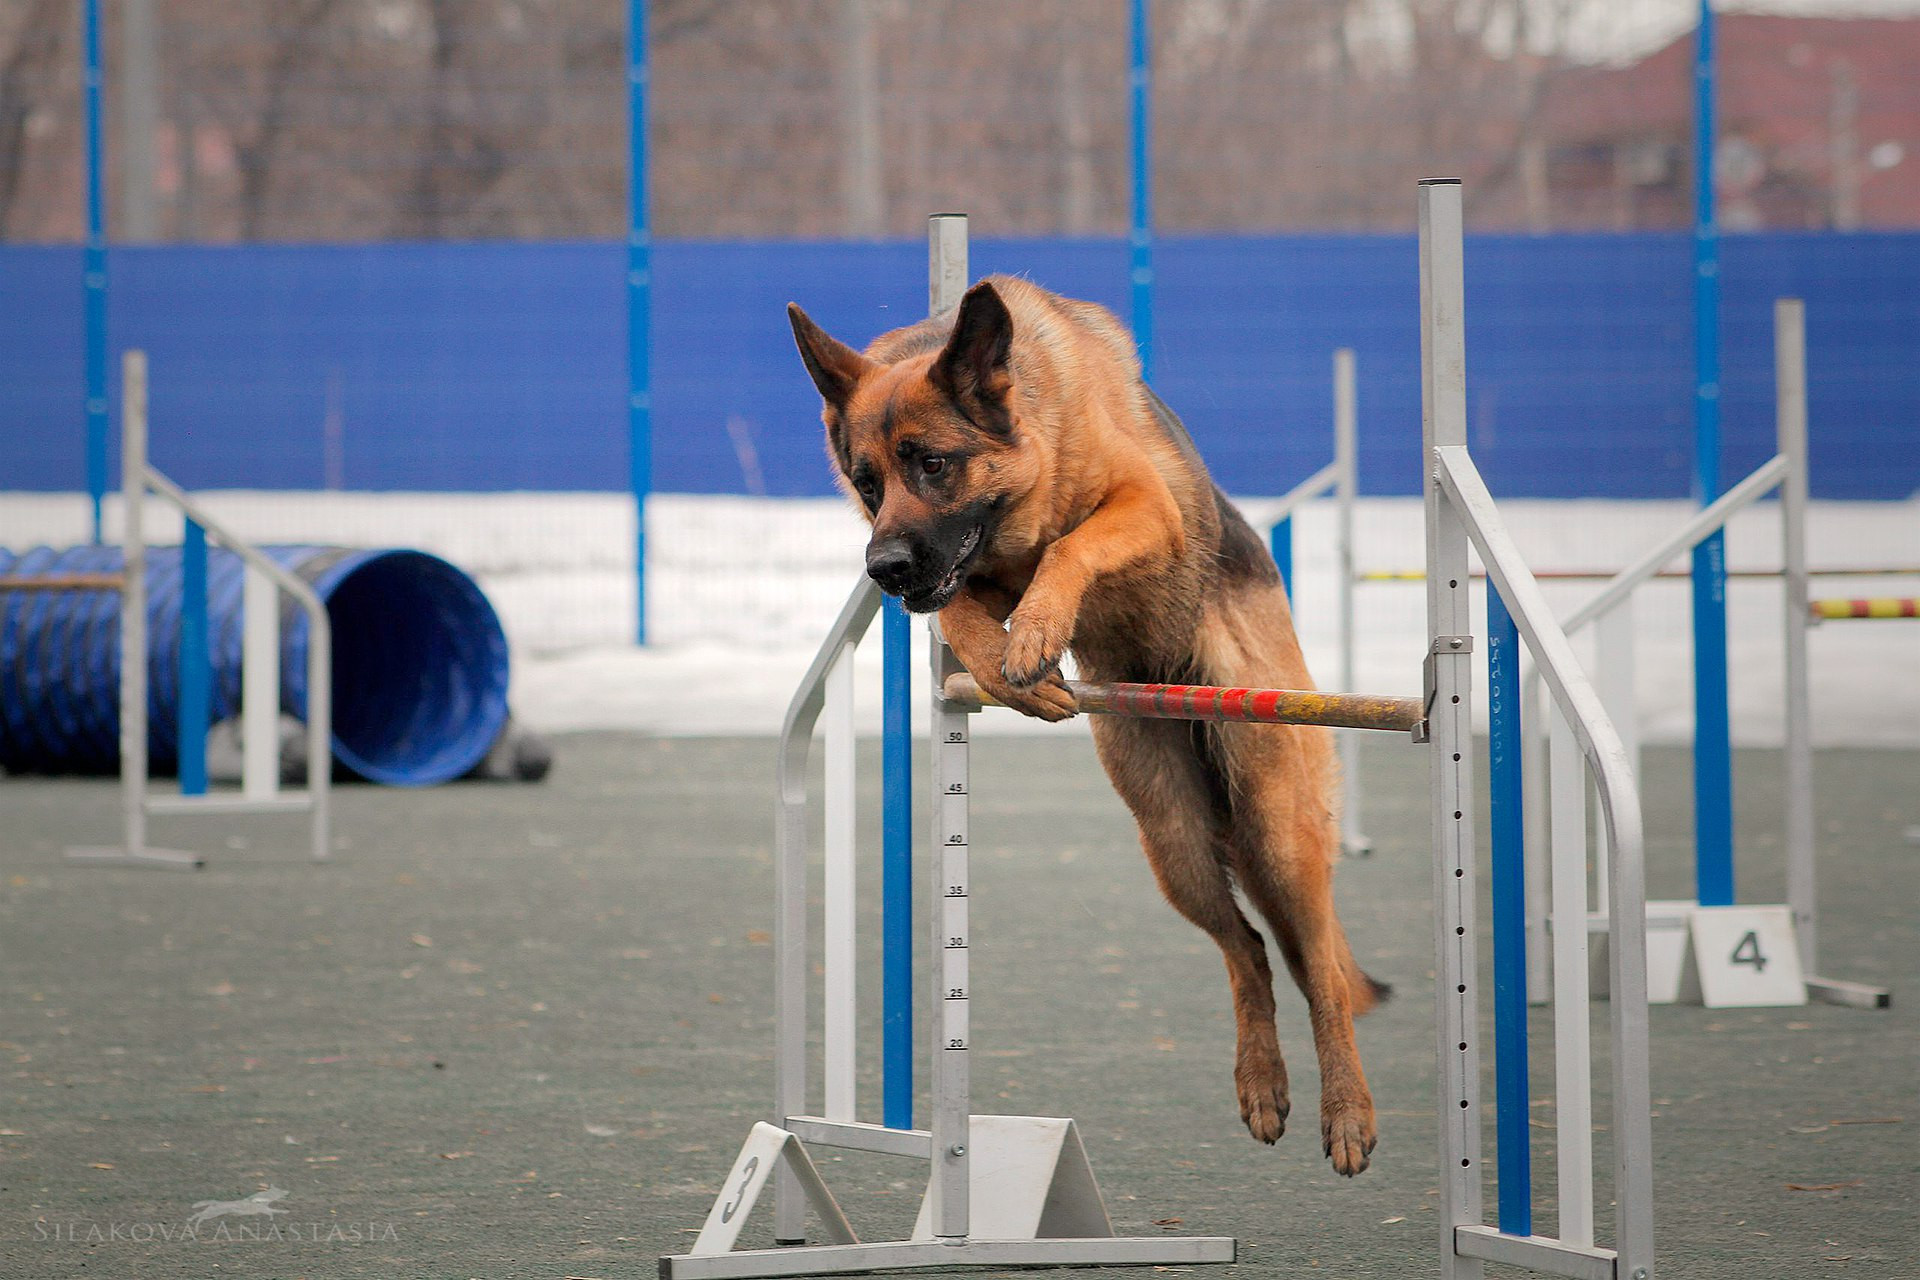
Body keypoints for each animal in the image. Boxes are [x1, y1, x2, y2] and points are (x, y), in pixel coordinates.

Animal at [787, 276, 1390, 1174]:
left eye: (932, 464)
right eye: (866, 483)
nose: (883, 570)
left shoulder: (1143, 507)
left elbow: (1071, 546)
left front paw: (1036, 631)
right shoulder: (965, 582)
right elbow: (961, 608)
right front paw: (1011, 667)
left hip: (1278, 822)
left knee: (1317, 967)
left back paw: (1346, 1113)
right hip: (1175, 841)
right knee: (1247, 951)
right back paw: (1261, 1086)